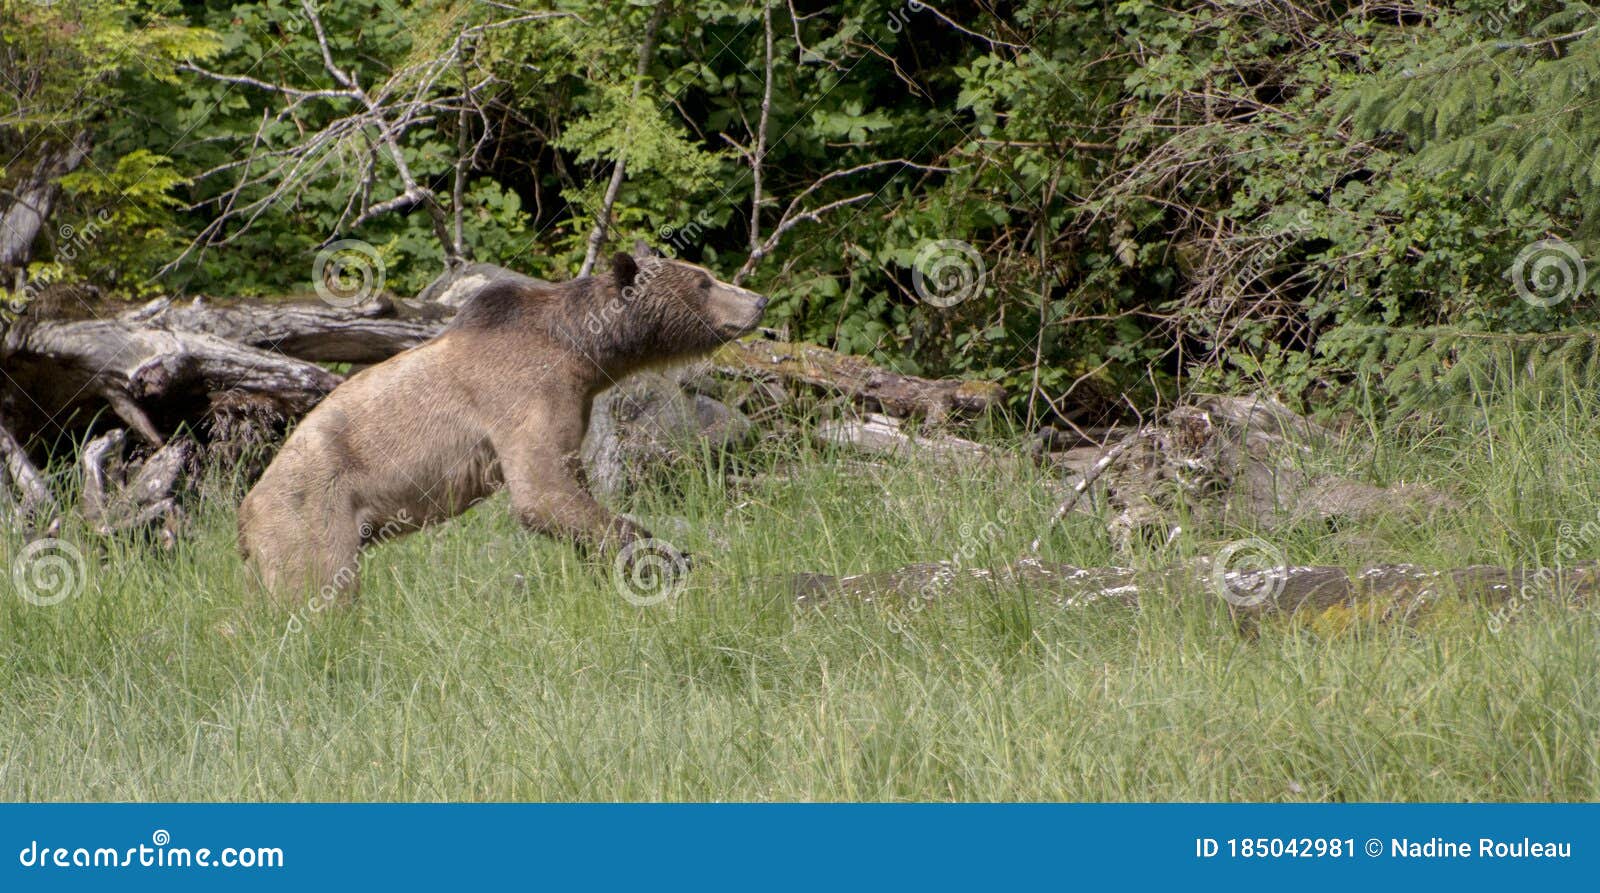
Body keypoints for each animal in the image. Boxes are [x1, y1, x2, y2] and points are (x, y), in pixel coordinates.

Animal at [233, 248, 774, 604]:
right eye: (704, 282)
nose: (759, 300)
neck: (584, 353)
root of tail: (244, 512)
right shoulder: (524, 394)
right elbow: (541, 491)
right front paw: (663, 556)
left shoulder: (574, 404)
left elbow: (568, 485)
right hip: (312, 510)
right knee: (319, 588)